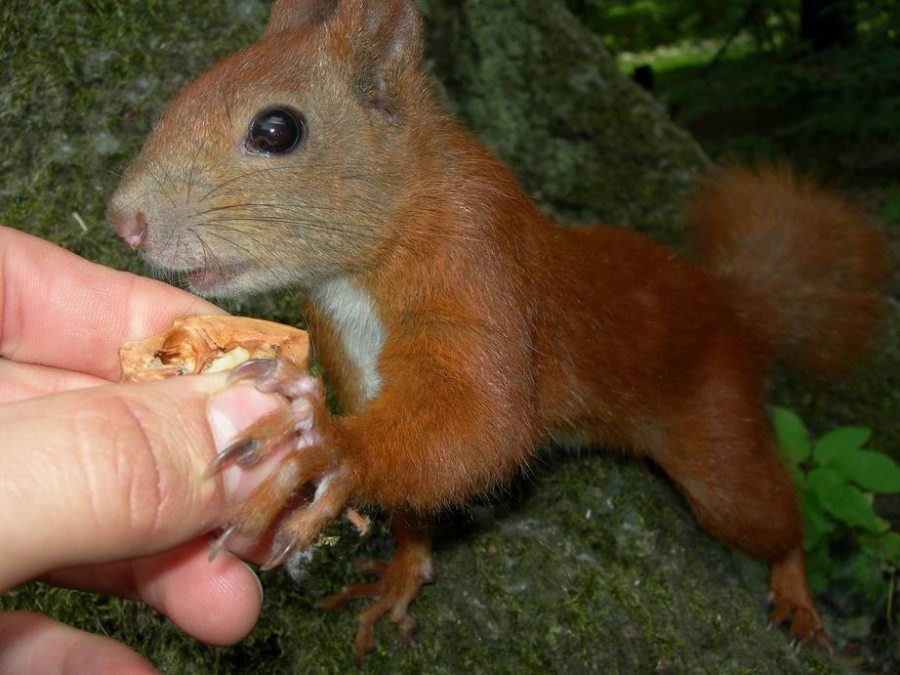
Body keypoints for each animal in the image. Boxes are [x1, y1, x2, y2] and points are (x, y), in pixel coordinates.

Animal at [107, 0, 888, 660]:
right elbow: (428, 470)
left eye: (277, 130)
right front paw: (403, 568)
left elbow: (487, 425)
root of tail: (727, 303)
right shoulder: (353, 354)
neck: (360, 266)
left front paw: (322, 444)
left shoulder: (480, 265)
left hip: (718, 440)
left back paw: (797, 593)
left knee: (772, 514)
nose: (124, 220)